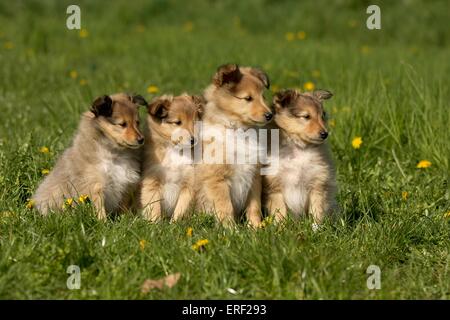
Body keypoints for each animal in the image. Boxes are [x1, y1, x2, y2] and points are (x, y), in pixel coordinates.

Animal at [32, 91, 148, 219]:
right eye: (122, 124)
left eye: (137, 122)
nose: (141, 139)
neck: (114, 153)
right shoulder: (94, 186)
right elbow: (99, 210)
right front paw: (103, 222)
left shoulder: (126, 184)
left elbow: (124, 208)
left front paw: (126, 220)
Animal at [196, 63, 272, 226]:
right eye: (248, 98)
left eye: (263, 96)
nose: (270, 115)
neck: (239, 131)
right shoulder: (217, 179)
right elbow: (225, 207)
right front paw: (231, 229)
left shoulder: (254, 177)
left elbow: (254, 207)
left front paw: (256, 227)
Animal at [264, 89, 338, 224]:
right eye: (306, 116)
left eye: (322, 116)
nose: (325, 134)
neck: (299, 148)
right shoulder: (275, 188)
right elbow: (280, 213)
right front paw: (280, 227)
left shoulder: (318, 185)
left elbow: (317, 212)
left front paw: (316, 228)